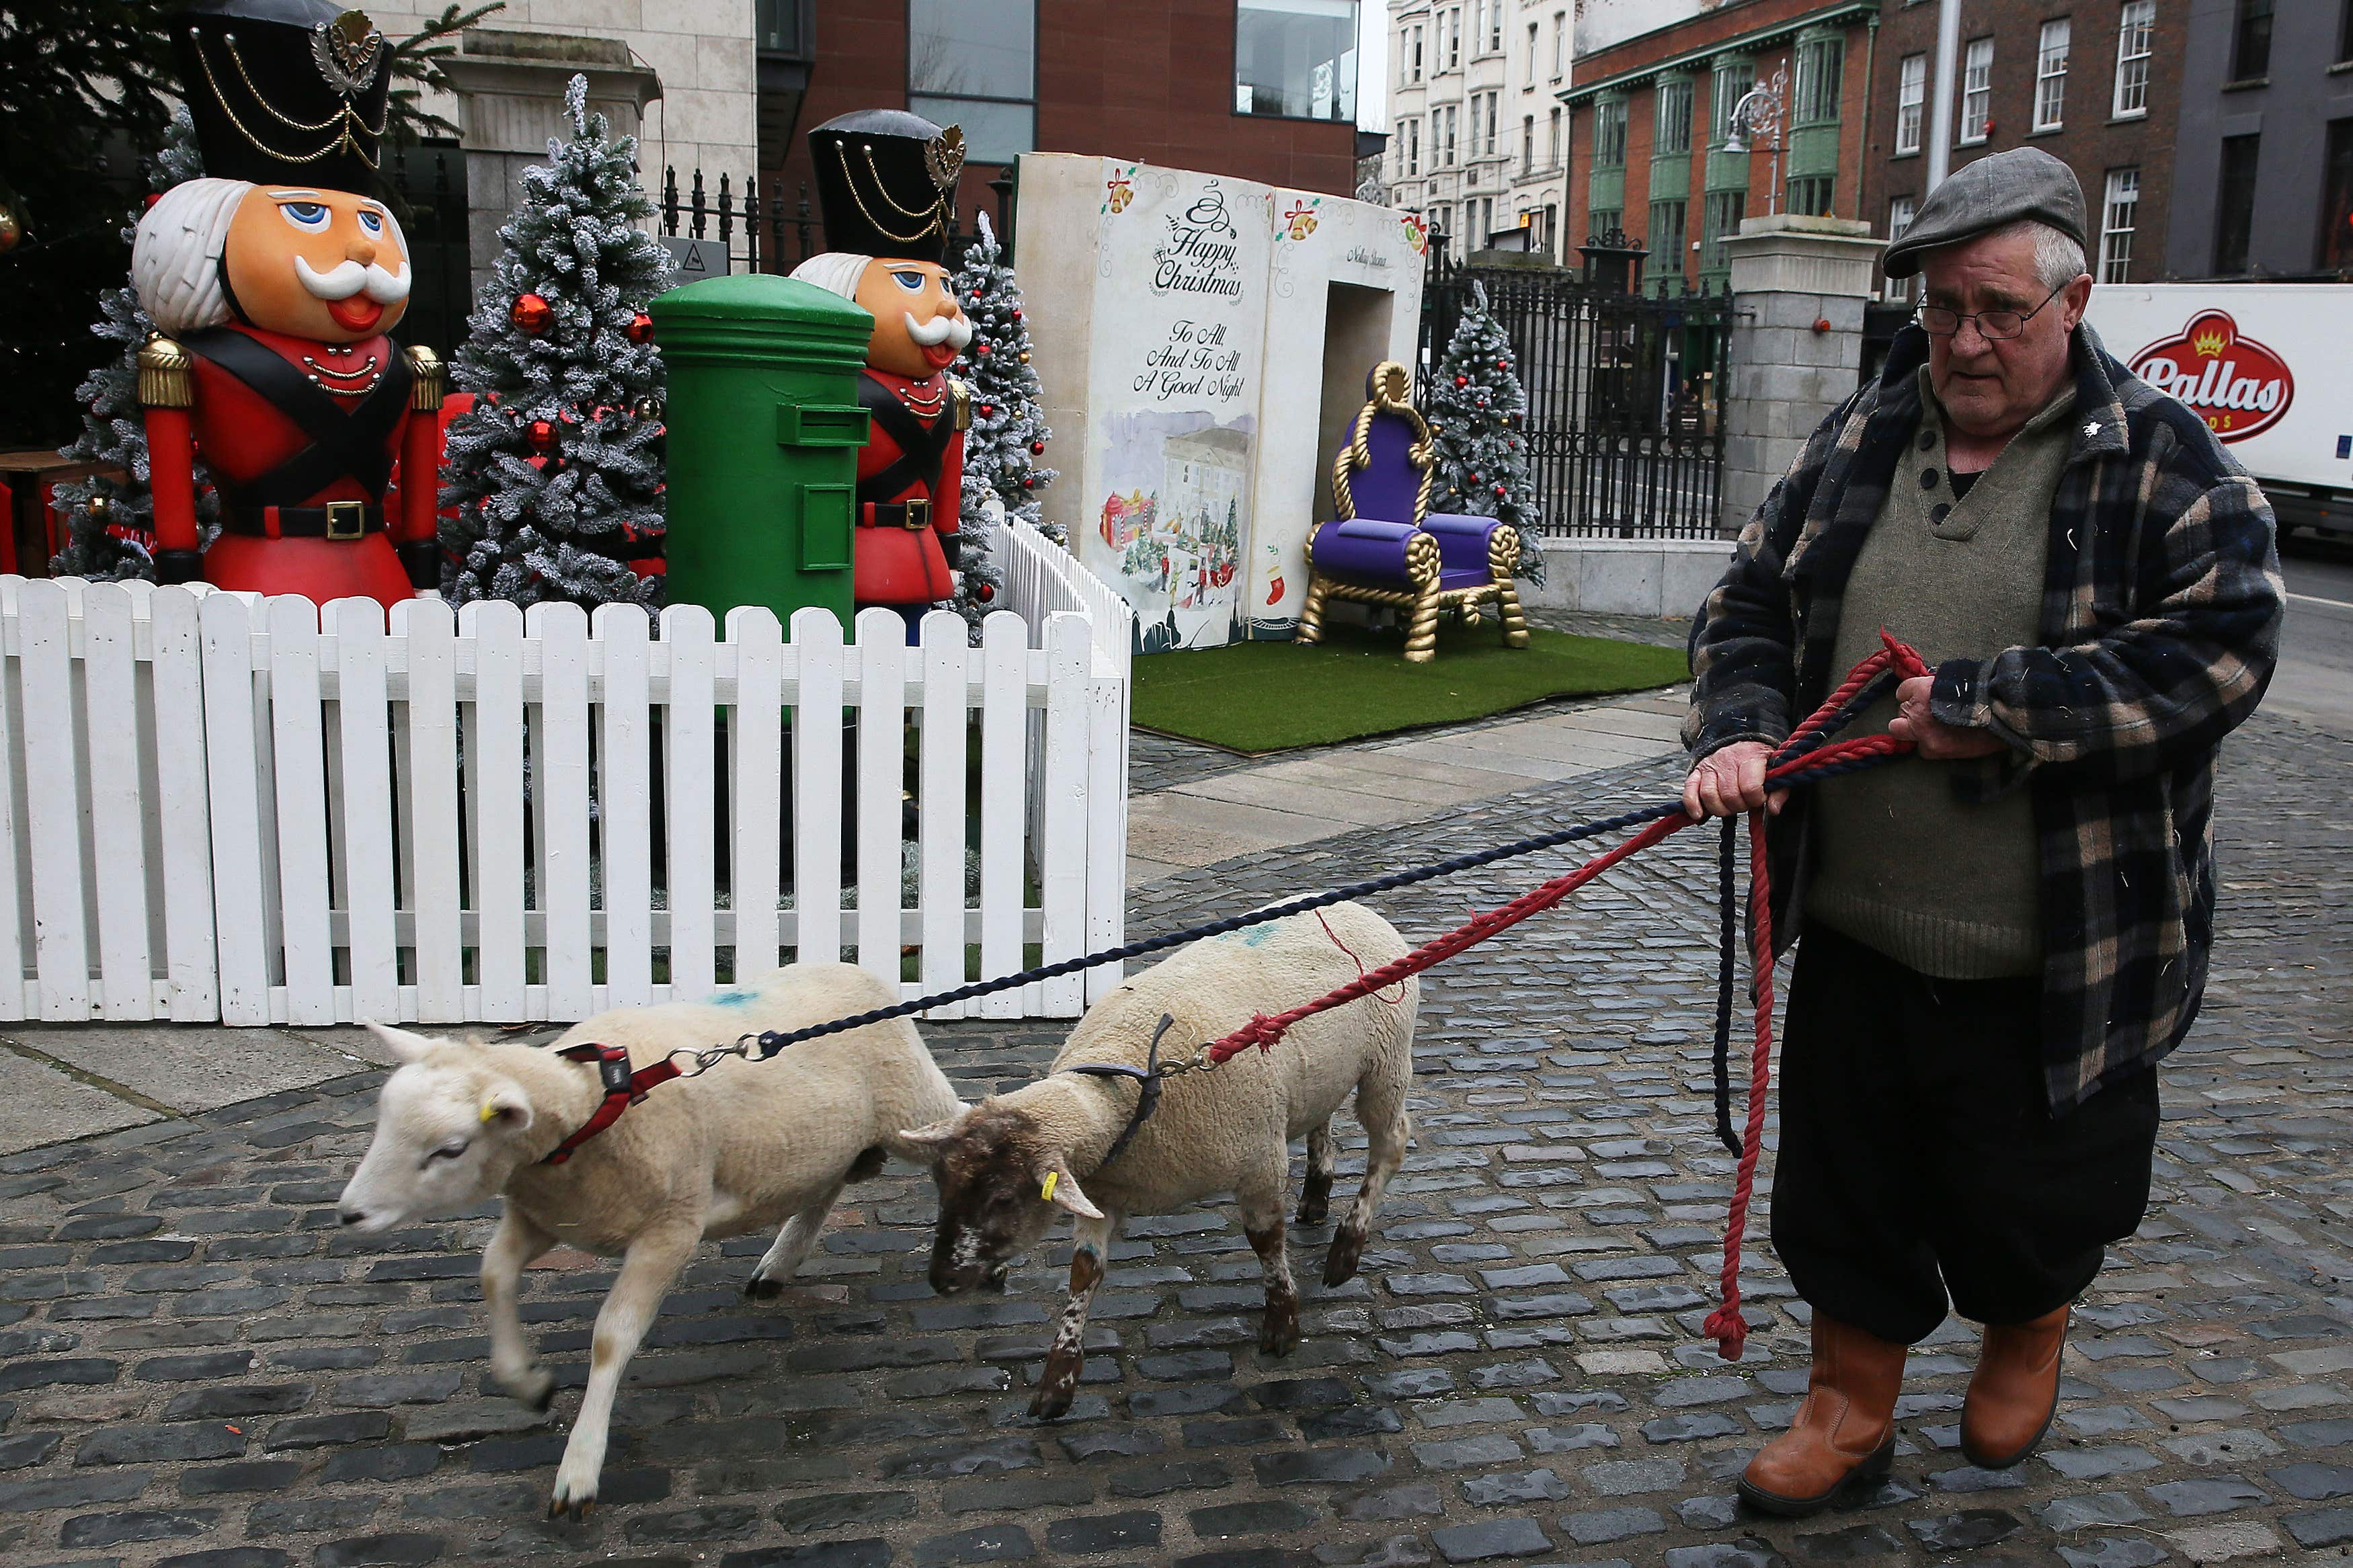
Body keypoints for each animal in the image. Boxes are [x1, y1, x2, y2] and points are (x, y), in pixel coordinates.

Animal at [331, 964, 955, 1514]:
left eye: (451, 1149)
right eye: (383, 1120)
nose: (349, 1213)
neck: (598, 1099)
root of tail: (856, 969)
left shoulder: (670, 1227)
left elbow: (612, 1337)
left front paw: (579, 1468)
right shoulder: (546, 1217)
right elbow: (492, 1273)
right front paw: (526, 1382)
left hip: (911, 1107)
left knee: (967, 1129)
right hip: (817, 1144)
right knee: (825, 1187)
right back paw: (779, 1262)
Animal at [894, 893, 1412, 1419]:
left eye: (1002, 1198)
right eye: (942, 1185)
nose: (941, 1279)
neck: (1127, 1087)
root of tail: (1354, 908)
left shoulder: (1259, 1164)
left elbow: (1266, 1241)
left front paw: (1282, 1324)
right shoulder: (1099, 1193)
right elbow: (1085, 1272)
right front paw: (1058, 1381)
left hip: (1387, 1061)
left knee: (1390, 1145)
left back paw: (1346, 1247)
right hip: (1319, 1076)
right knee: (1321, 1119)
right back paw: (1316, 1198)